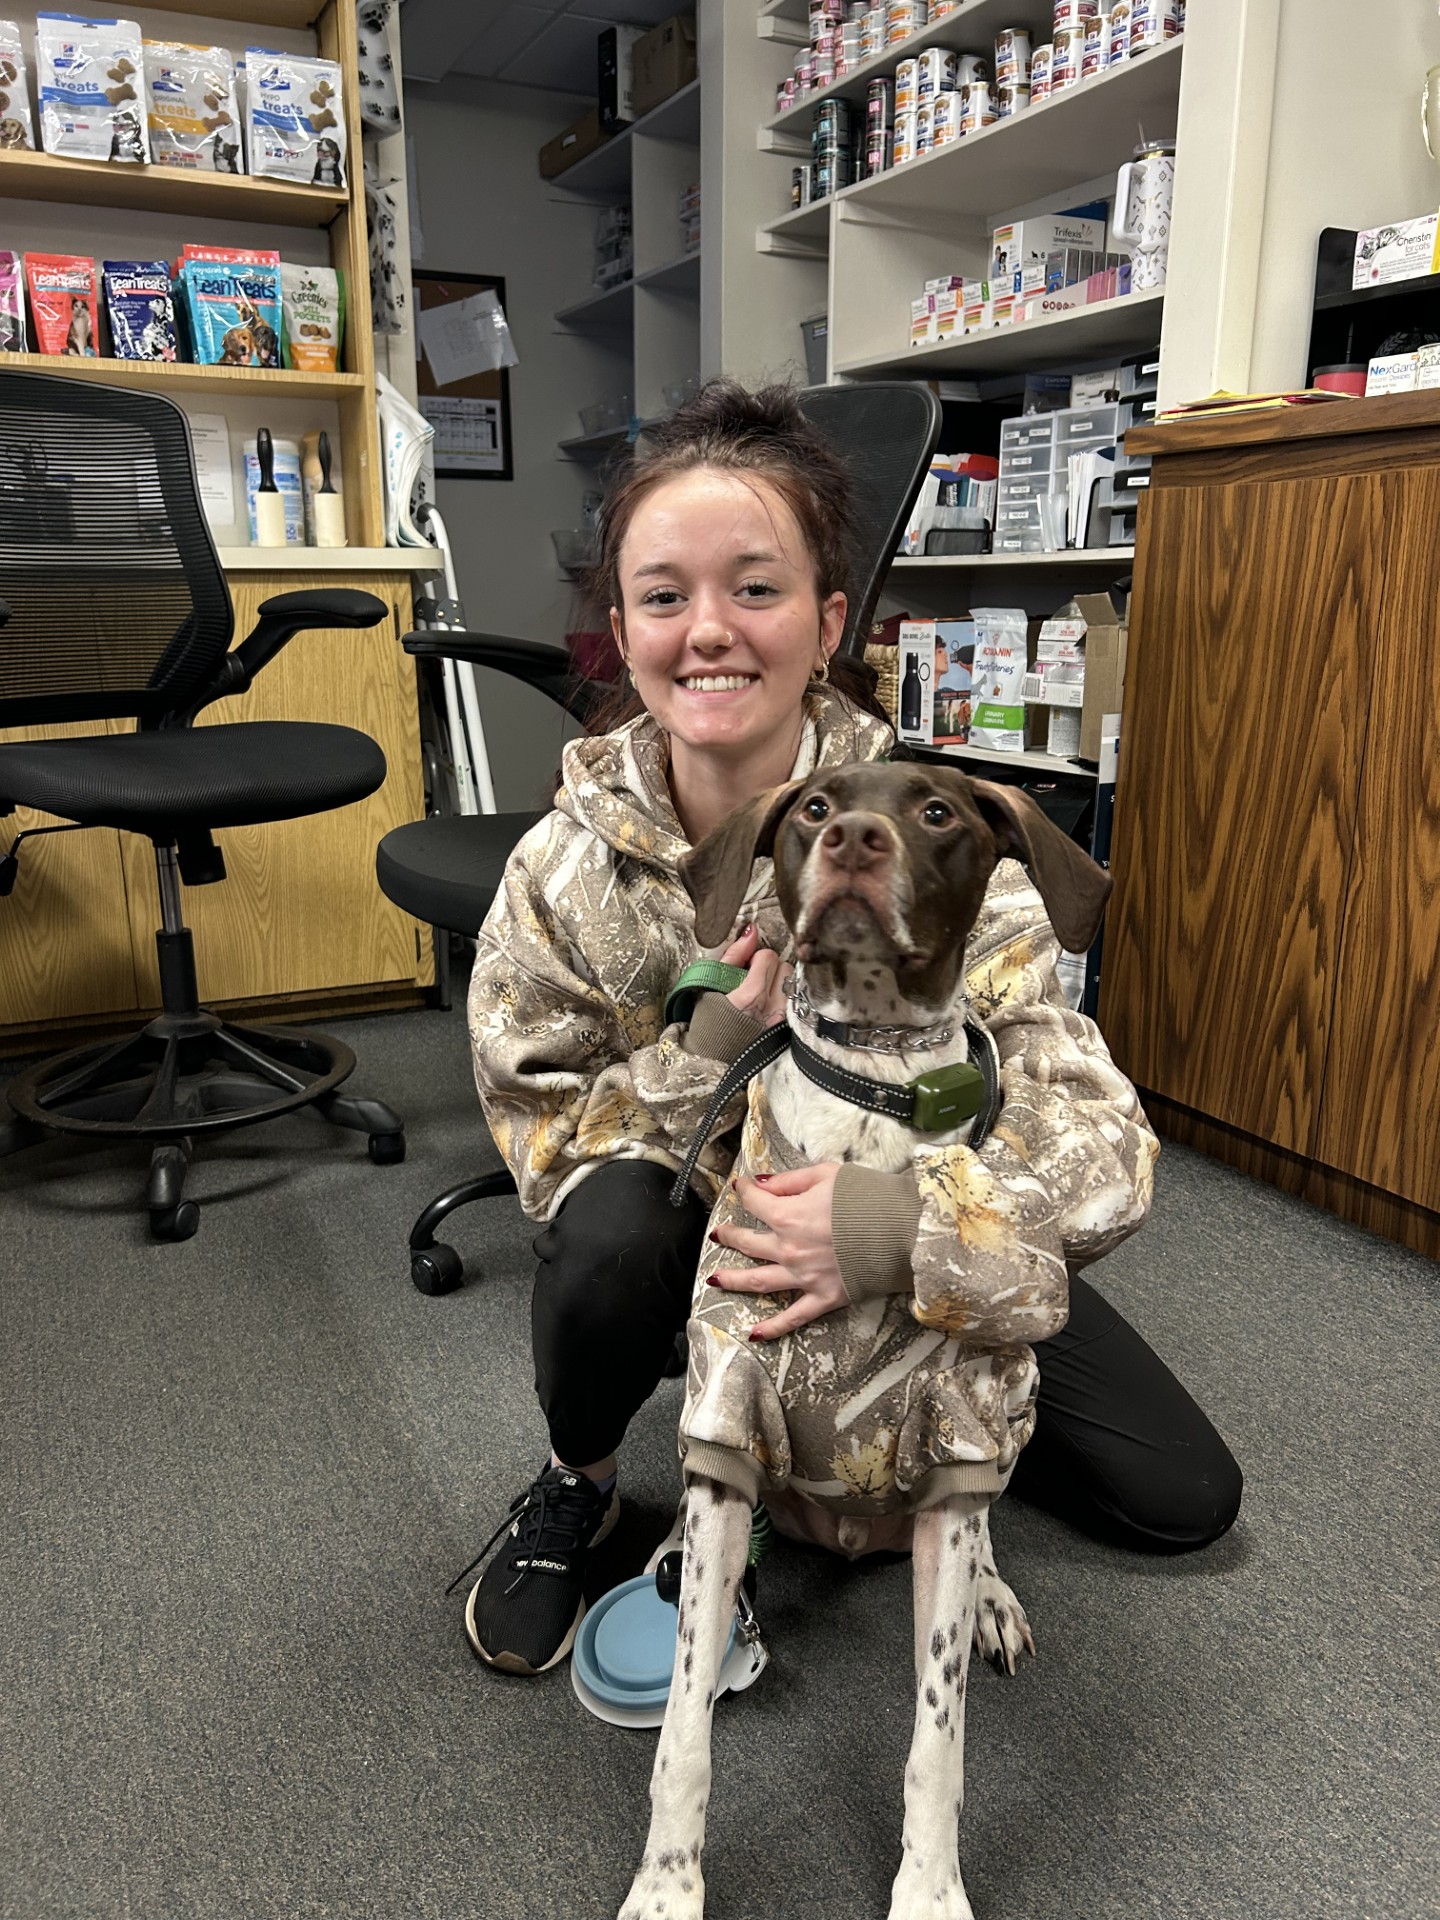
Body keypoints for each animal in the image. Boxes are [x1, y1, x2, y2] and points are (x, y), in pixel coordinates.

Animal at [618, 760, 1116, 1920]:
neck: (874, 1086)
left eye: (937, 810)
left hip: (1005, 1418)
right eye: (811, 807)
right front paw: (666, 1888)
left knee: (987, 1530)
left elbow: (937, 1747)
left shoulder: (955, 1437)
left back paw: (993, 1599)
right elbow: (682, 1735)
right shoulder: (725, 1411)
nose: (853, 837)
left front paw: (929, 1893)